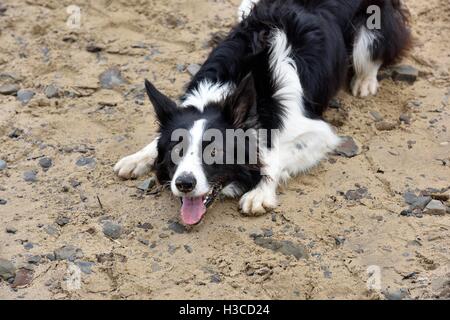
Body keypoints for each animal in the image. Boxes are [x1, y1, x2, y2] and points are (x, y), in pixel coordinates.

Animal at [115, 0, 412, 225]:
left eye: (216, 152)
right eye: (176, 151)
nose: (184, 184)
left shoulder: (319, 133)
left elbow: (273, 157)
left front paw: (260, 191)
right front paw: (138, 157)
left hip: (370, 30)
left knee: (376, 51)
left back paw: (365, 80)